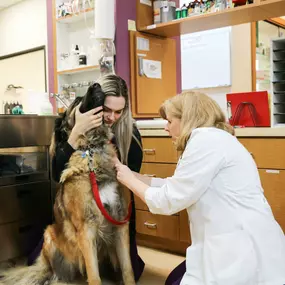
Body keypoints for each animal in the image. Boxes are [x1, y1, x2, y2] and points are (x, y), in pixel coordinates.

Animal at [0, 83, 135, 282]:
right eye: (77, 100)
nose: (96, 84)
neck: (91, 148)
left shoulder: (120, 224)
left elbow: (127, 270)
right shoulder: (87, 230)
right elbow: (94, 277)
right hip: (49, 234)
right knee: (53, 273)